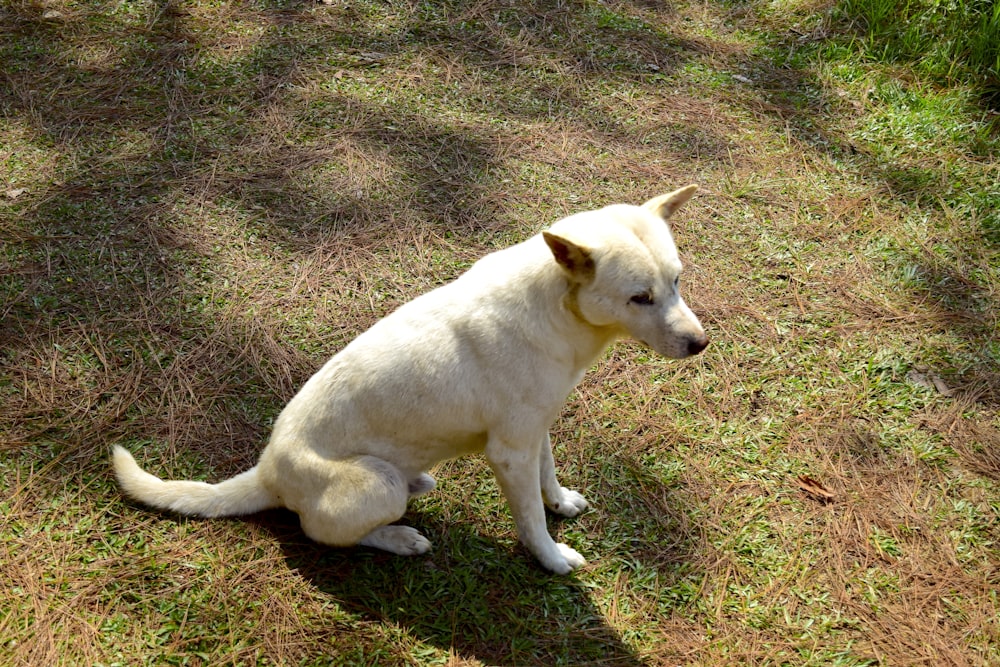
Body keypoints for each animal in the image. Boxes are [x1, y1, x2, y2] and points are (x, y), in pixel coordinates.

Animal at [113, 185, 708, 576]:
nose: (700, 344)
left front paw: (560, 502)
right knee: (320, 533)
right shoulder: (509, 452)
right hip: (378, 483)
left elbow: (548, 477)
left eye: (678, 282)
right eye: (639, 297)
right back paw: (399, 538)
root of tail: (266, 472)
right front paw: (552, 558)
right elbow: (531, 520)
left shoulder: (534, 429)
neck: (558, 309)